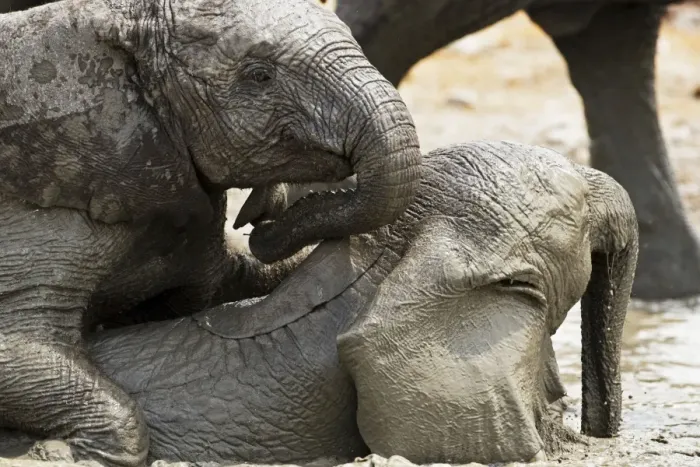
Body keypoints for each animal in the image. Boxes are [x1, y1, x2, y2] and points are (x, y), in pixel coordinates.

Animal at [0, 0, 422, 464]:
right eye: (260, 76)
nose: (259, 219)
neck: (118, 19)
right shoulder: (45, 215)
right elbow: (14, 349)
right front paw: (73, 452)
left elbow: (222, 286)